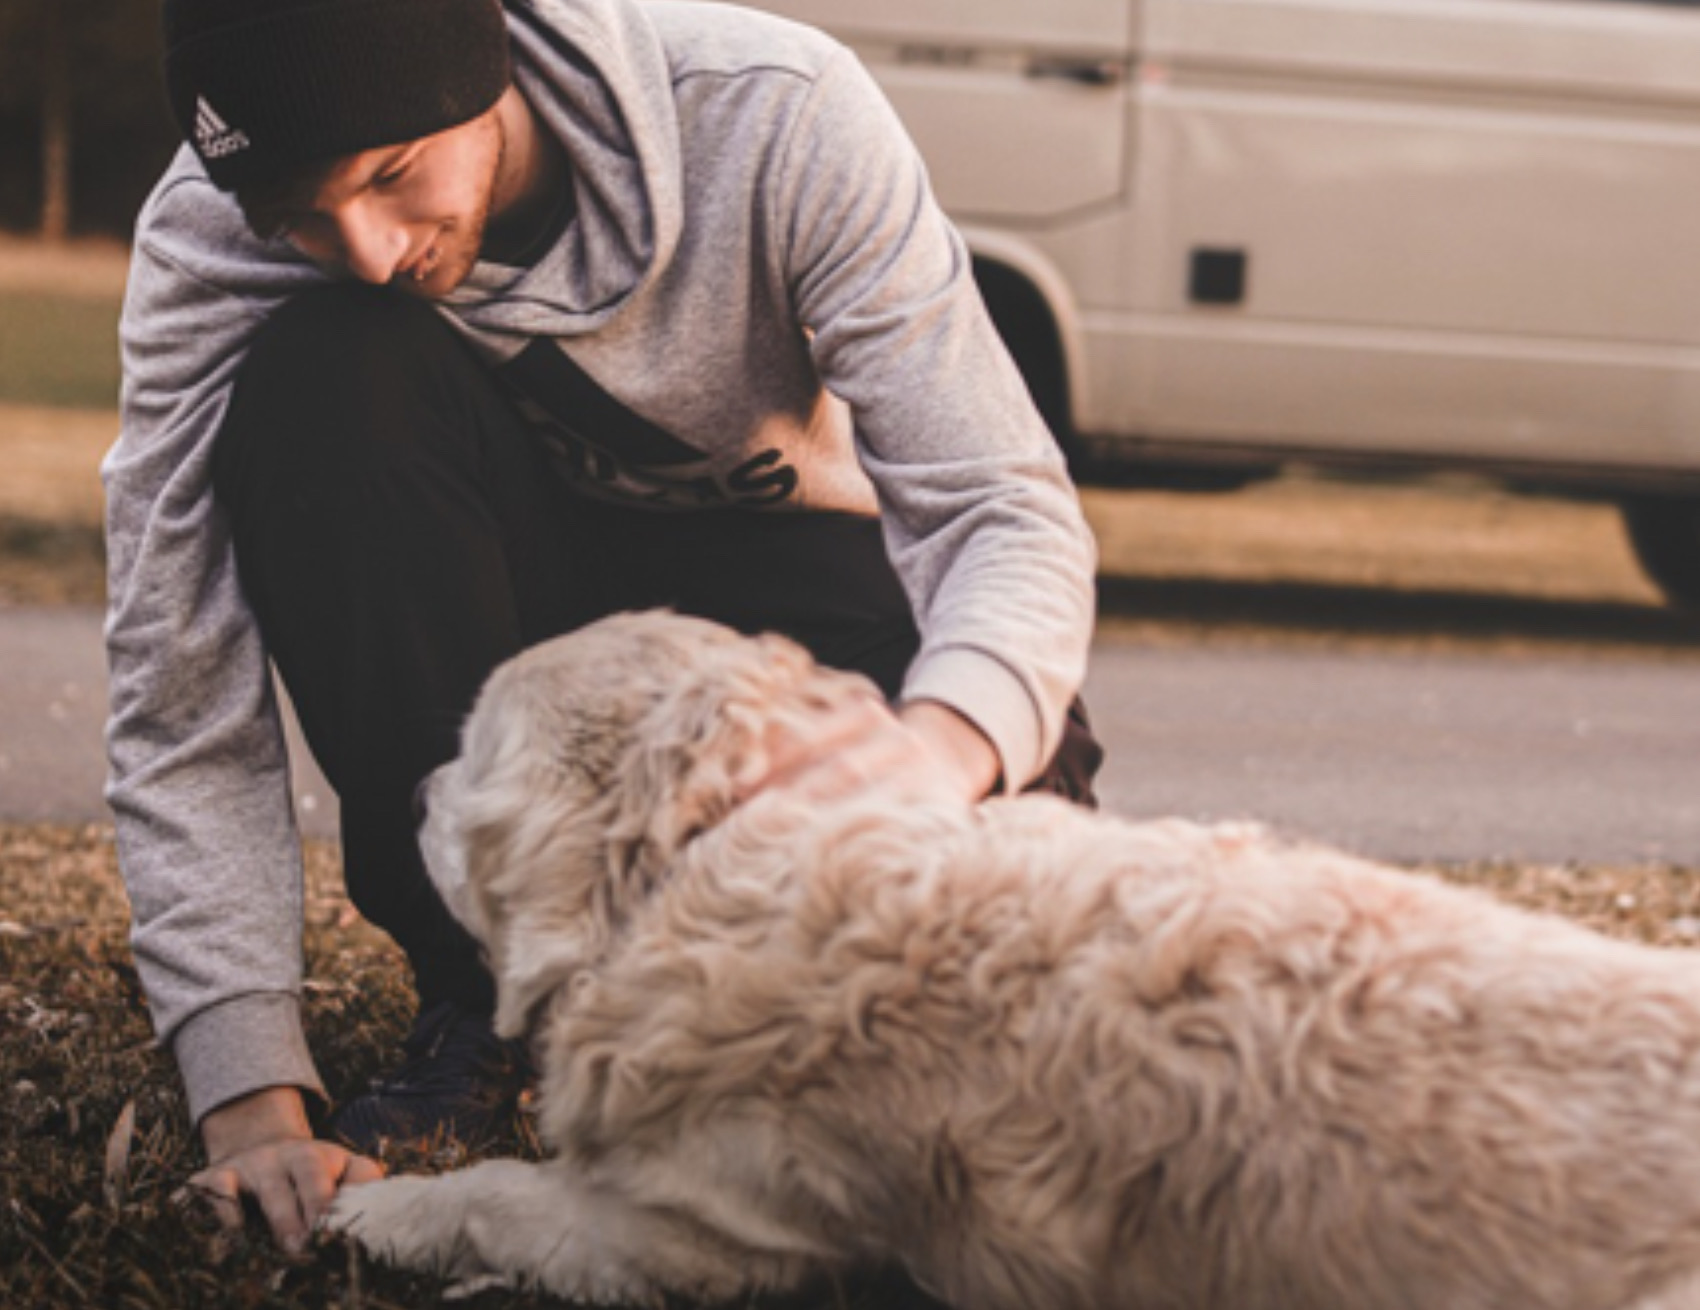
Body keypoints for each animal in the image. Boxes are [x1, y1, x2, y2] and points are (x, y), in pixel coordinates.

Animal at [331, 615, 1700, 1310]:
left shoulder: (718, 1228)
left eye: (468, 746)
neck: (724, 843)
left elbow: (500, 1190)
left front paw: (380, 1210)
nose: (410, 787)